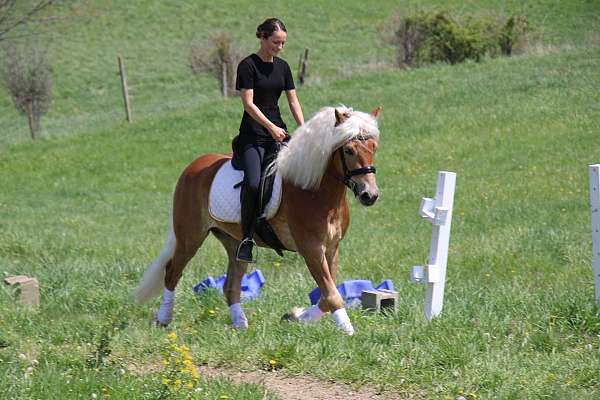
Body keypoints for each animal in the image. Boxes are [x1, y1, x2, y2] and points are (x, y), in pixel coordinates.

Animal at [134, 105, 382, 334]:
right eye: (348, 150)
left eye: (373, 147)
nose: (369, 195)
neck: (314, 191)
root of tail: (192, 167)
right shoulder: (311, 249)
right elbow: (331, 294)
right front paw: (348, 331)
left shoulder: (331, 248)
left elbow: (326, 294)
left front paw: (296, 317)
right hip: (190, 237)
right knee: (172, 272)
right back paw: (164, 319)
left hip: (234, 242)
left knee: (230, 286)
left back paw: (240, 324)